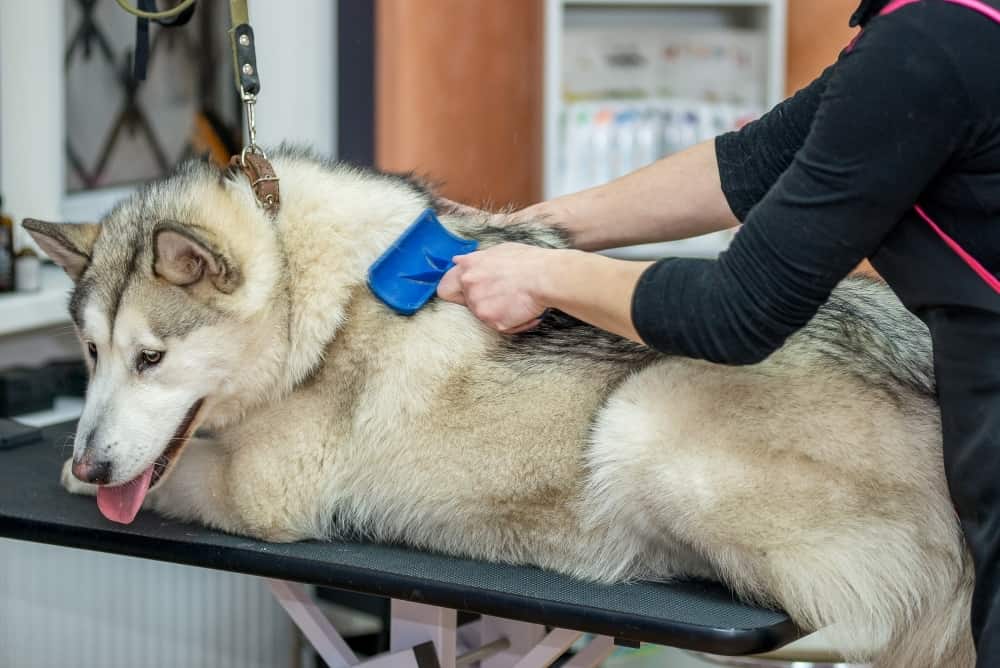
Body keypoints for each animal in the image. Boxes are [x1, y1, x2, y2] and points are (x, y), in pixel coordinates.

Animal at [23, 149, 972, 664]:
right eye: (91, 353)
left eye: (152, 359)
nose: (90, 461)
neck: (308, 293)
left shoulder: (263, 495)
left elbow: (181, 482)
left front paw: (76, 480)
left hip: (638, 417)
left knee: (867, 623)